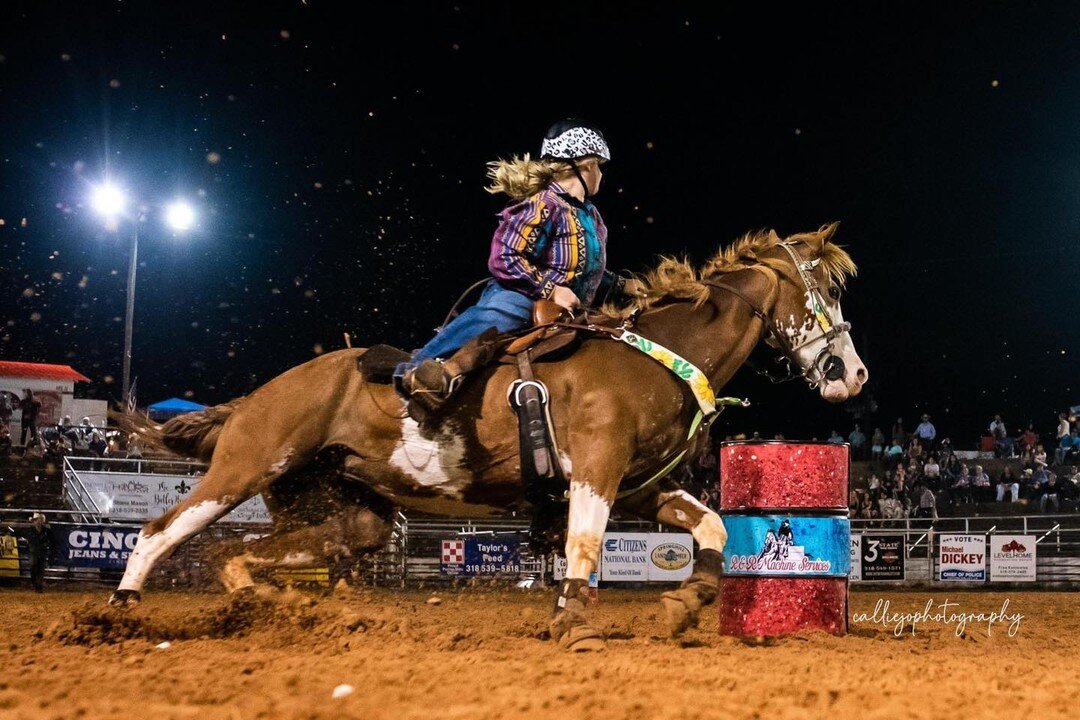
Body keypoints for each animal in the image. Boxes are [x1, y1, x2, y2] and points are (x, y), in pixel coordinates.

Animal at [109, 222, 868, 651]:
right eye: (828, 292)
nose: (853, 374)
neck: (655, 355)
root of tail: (258, 394)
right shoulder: (596, 470)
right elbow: (583, 545)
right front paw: (574, 624)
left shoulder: (642, 487)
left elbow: (712, 528)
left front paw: (684, 606)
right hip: (248, 464)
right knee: (161, 530)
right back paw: (120, 613)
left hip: (350, 514)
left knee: (240, 556)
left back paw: (276, 607)